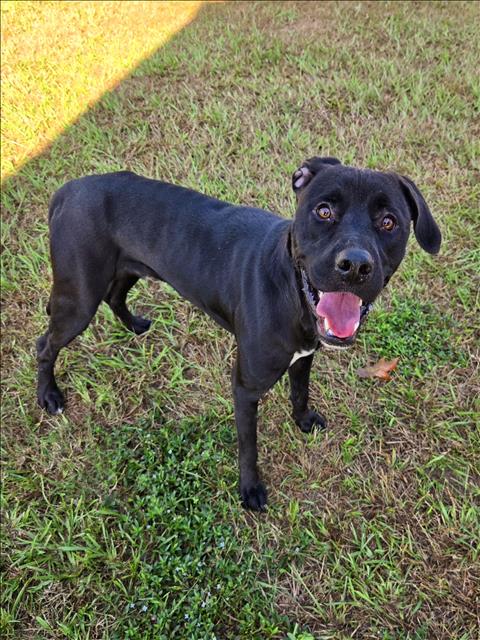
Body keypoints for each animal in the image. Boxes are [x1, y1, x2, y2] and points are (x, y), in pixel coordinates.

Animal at [37, 159, 440, 510]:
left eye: (388, 222)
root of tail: (66, 190)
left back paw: (134, 326)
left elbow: (300, 392)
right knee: (46, 344)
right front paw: (250, 489)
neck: (291, 291)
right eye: (324, 212)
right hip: (79, 299)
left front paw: (303, 421)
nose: (354, 265)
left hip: (126, 270)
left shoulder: (304, 357)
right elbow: (249, 445)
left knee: (115, 296)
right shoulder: (245, 388)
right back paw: (49, 396)